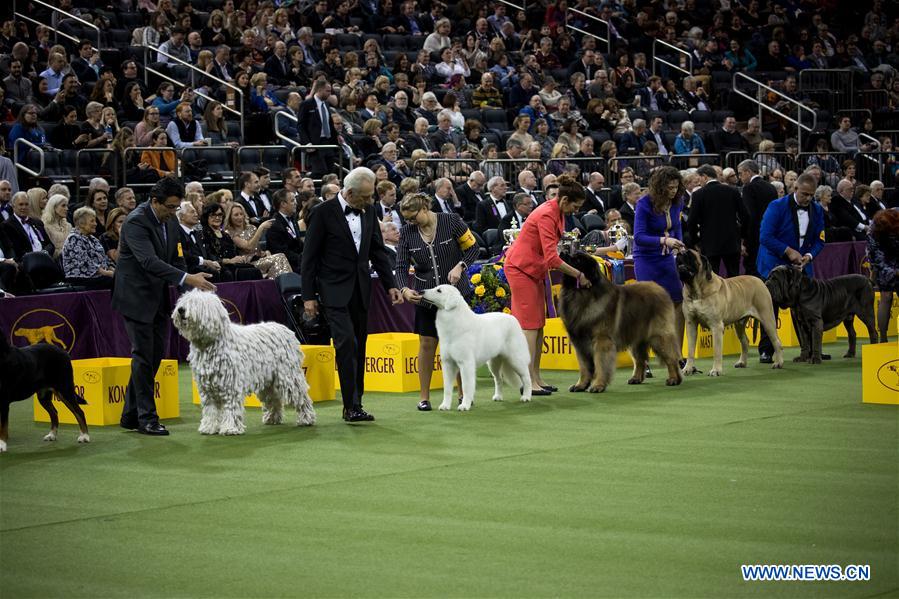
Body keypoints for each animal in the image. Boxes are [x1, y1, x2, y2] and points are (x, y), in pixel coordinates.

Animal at [172, 290, 316, 436]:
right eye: (184, 301)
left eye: (195, 303)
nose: (181, 310)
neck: (208, 343)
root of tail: (285, 329)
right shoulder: (207, 387)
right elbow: (210, 409)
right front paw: (209, 427)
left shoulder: (230, 385)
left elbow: (230, 407)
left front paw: (230, 428)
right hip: (268, 381)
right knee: (273, 399)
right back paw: (272, 418)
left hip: (288, 376)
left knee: (301, 397)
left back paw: (306, 419)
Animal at [556, 253, 684, 394]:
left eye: (577, 260)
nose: (562, 253)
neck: (579, 293)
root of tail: (660, 288)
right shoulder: (580, 344)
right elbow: (584, 368)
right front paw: (580, 385)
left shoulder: (601, 341)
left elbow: (600, 364)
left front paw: (598, 385)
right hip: (636, 338)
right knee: (640, 360)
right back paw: (636, 378)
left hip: (659, 336)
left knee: (671, 358)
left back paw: (674, 379)